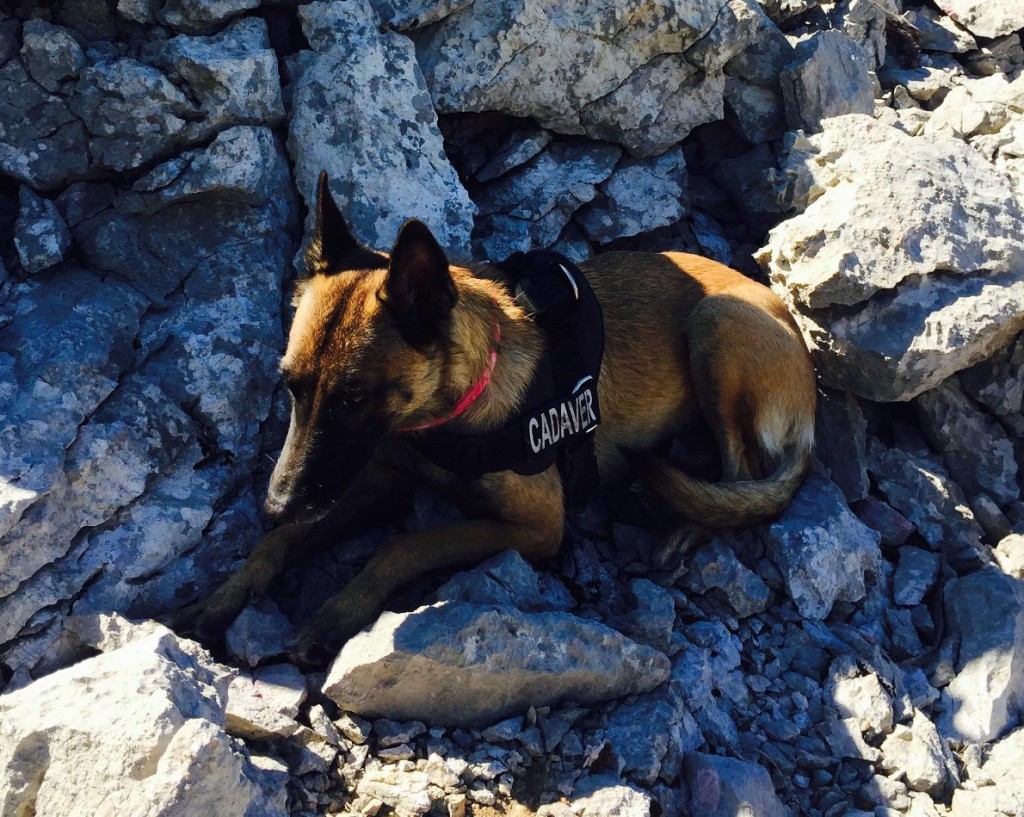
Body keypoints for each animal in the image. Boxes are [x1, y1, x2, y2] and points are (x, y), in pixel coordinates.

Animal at [172, 174, 819, 671]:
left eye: (355, 396)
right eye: (290, 385)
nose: (274, 503)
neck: (454, 409)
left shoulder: (536, 529)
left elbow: (406, 544)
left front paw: (334, 614)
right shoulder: (378, 479)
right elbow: (283, 542)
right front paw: (225, 595)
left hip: (715, 324)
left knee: (744, 469)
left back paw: (692, 522)